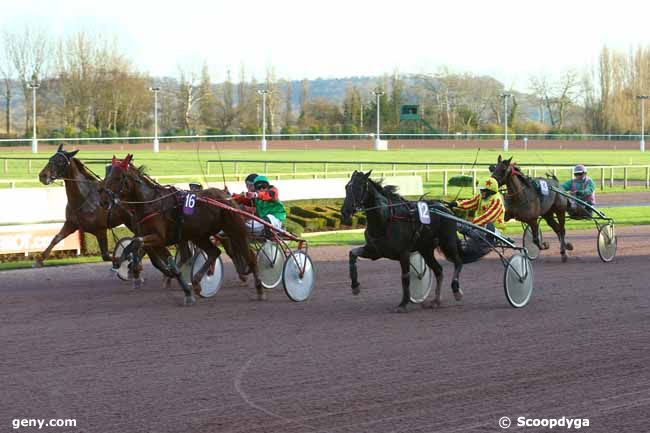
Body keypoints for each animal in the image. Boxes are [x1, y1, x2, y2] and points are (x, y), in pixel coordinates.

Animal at [98, 154, 258, 304]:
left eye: (118, 177)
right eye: (107, 176)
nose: (103, 201)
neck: (150, 203)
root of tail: (227, 196)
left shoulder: (158, 237)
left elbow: (136, 243)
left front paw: (120, 263)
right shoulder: (153, 239)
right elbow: (156, 259)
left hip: (234, 229)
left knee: (248, 255)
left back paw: (257, 286)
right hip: (199, 235)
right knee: (215, 252)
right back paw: (198, 281)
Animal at [340, 169, 460, 310]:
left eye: (359, 187)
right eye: (346, 187)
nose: (345, 211)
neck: (385, 219)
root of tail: (445, 207)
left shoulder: (404, 253)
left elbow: (405, 277)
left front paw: (403, 303)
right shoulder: (374, 251)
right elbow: (352, 254)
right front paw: (355, 286)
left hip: (448, 242)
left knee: (458, 262)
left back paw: (456, 290)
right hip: (426, 249)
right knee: (439, 270)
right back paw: (436, 300)